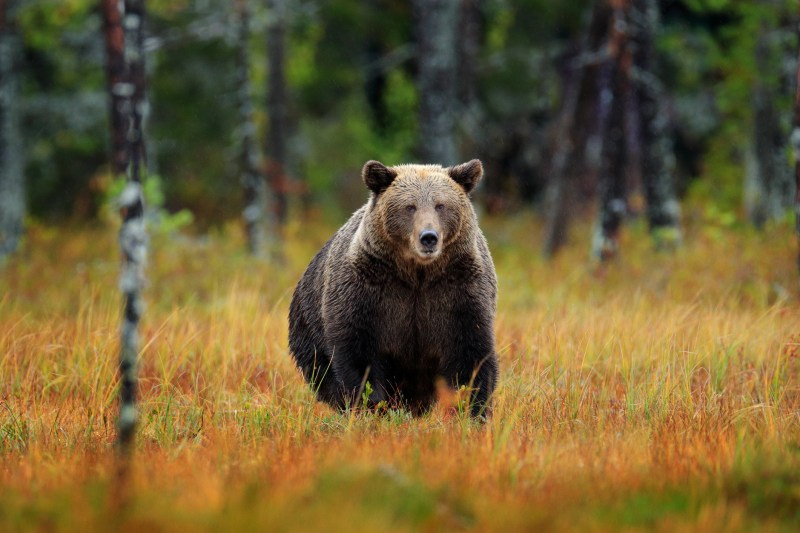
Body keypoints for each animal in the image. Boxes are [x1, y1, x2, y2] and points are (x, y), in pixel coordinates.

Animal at [288, 159, 498, 418]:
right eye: (410, 206)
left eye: (441, 205)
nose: (429, 237)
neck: (418, 274)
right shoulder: (367, 290)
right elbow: (359, 354)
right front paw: (372, 407)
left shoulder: (459, 290)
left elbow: (471, 354)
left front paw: (471, 410)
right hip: (308, 326)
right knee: (323, 372)